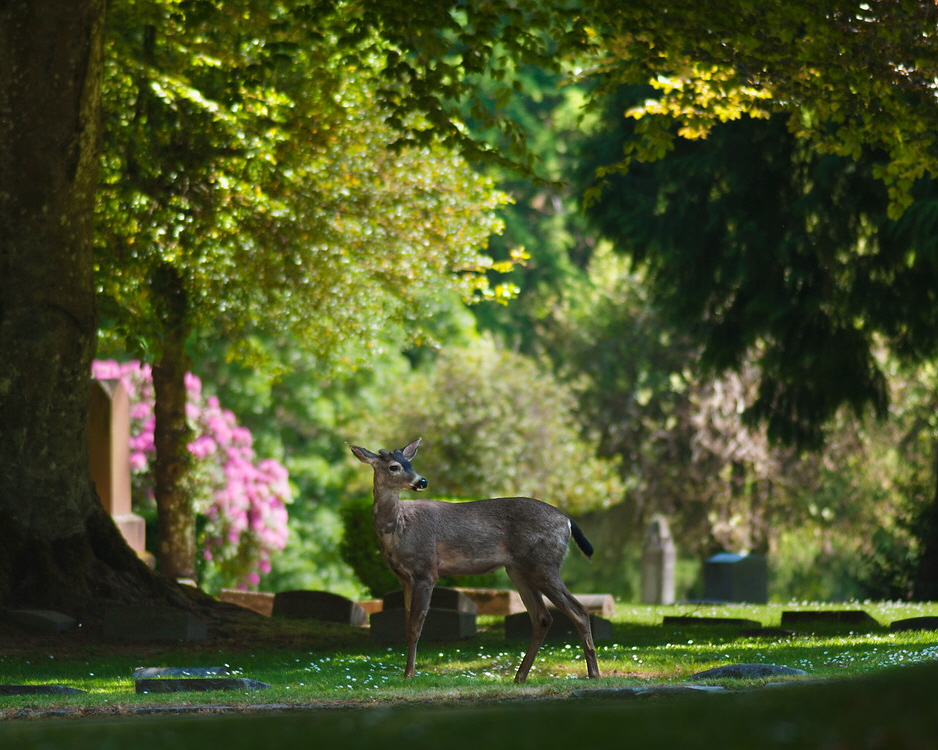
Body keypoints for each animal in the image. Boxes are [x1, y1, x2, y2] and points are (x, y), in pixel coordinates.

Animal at [346, 434, 600, 688]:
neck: (398, 528)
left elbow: (415, 627)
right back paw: (519, 676)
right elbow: (407, 623)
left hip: (544, 563)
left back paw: (593, 674)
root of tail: (568, 521)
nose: (422, 481)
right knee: (542, 617)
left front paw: (409, 674)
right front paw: (406, 673)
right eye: (394, 466)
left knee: (579, 610)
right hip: (518, 569)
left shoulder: (426, 570)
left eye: (410, 463)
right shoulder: (404, 577)